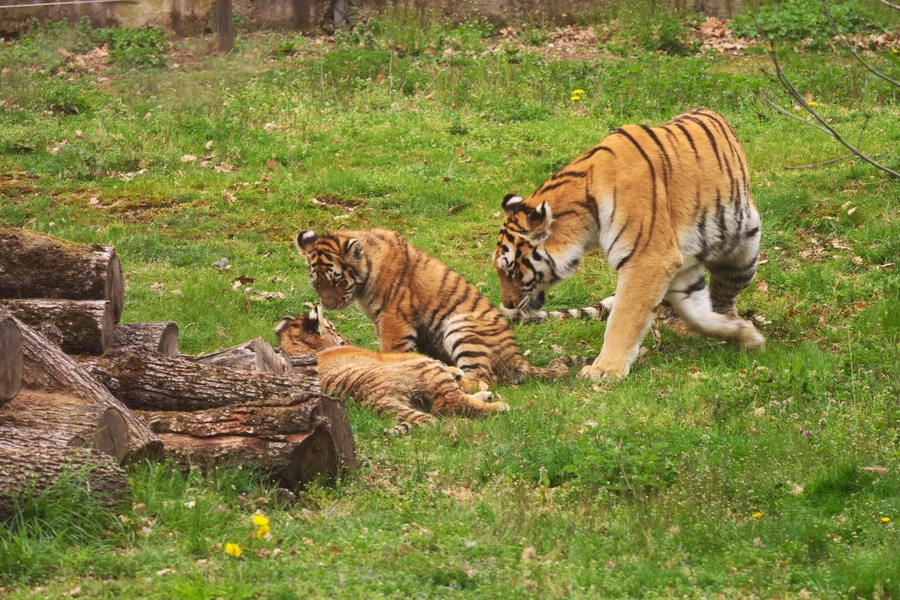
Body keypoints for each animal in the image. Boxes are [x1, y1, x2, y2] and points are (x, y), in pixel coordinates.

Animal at [275, 305, 508, 429]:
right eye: (332, 328)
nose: (347, 339)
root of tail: (376, 397)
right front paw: (455, 372)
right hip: (425, 369)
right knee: (452, 402)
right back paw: (499, 406)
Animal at [294, 227, 575, 391]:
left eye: (339, 282)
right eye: (317, 284)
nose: (329, 306)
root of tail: (516, 355)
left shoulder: (393, 316)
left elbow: (391, 350)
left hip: (461, 327)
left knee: (484, 377)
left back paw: (457, 378)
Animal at [493, 108, 765, 381]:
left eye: (511, 269)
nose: (507, 305)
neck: (585, 223)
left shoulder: (649, 260)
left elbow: (623, 318)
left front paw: (604, 369)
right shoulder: (675, 264)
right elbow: (696, 314)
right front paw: (741, 333)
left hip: (743, 255)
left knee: (724, 293)